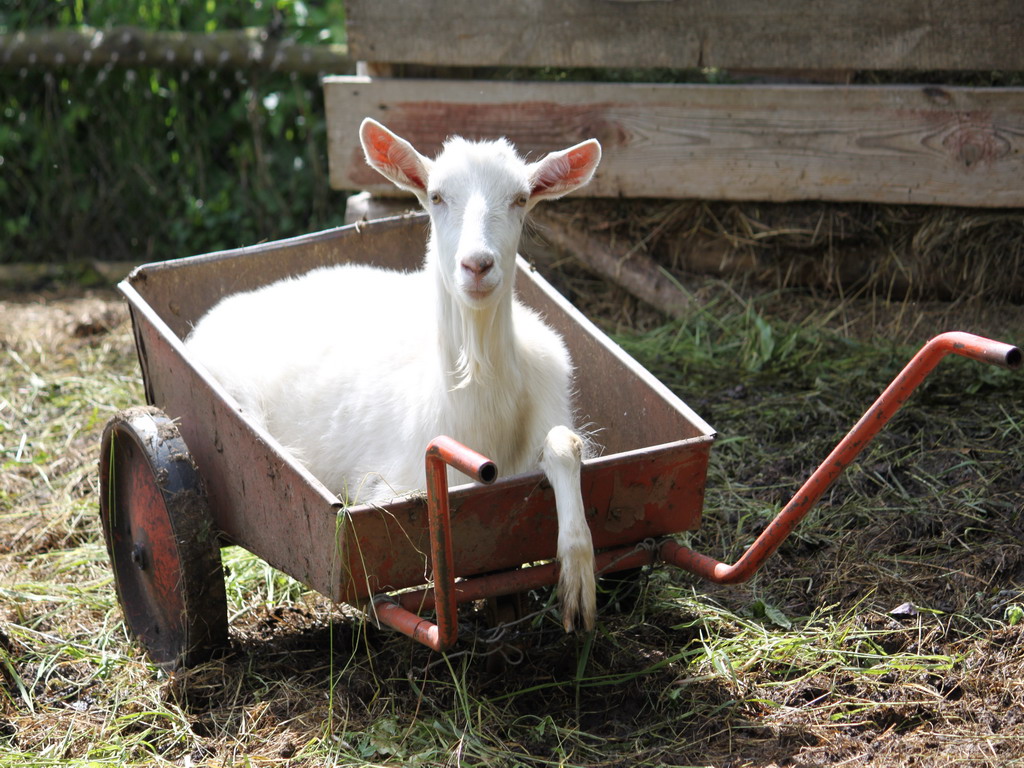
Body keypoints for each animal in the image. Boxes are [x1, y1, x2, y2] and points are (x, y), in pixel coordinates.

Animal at [186, 118, 598, 630]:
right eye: (436, 195)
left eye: (521, 198)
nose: (477, 265)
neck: (478, 405)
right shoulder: (393, 484)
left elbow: (565, 444)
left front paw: (578, 579)